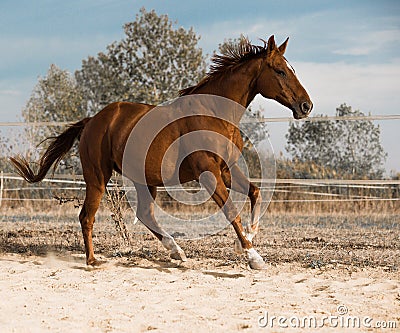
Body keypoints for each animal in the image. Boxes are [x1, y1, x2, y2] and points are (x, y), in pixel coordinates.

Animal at [8, 35, 310, 268]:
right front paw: (253, 257)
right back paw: (93, 261)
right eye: (280, 71)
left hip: (144, 180)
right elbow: (231, 211)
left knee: (144, 214)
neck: (214, 114)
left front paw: (245, 242)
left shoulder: (227, 169)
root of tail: (92, 121)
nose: (306, 106)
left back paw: (176, 251)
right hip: (97, 177)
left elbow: (255, 194)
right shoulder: (208, 173)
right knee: (87, 216)